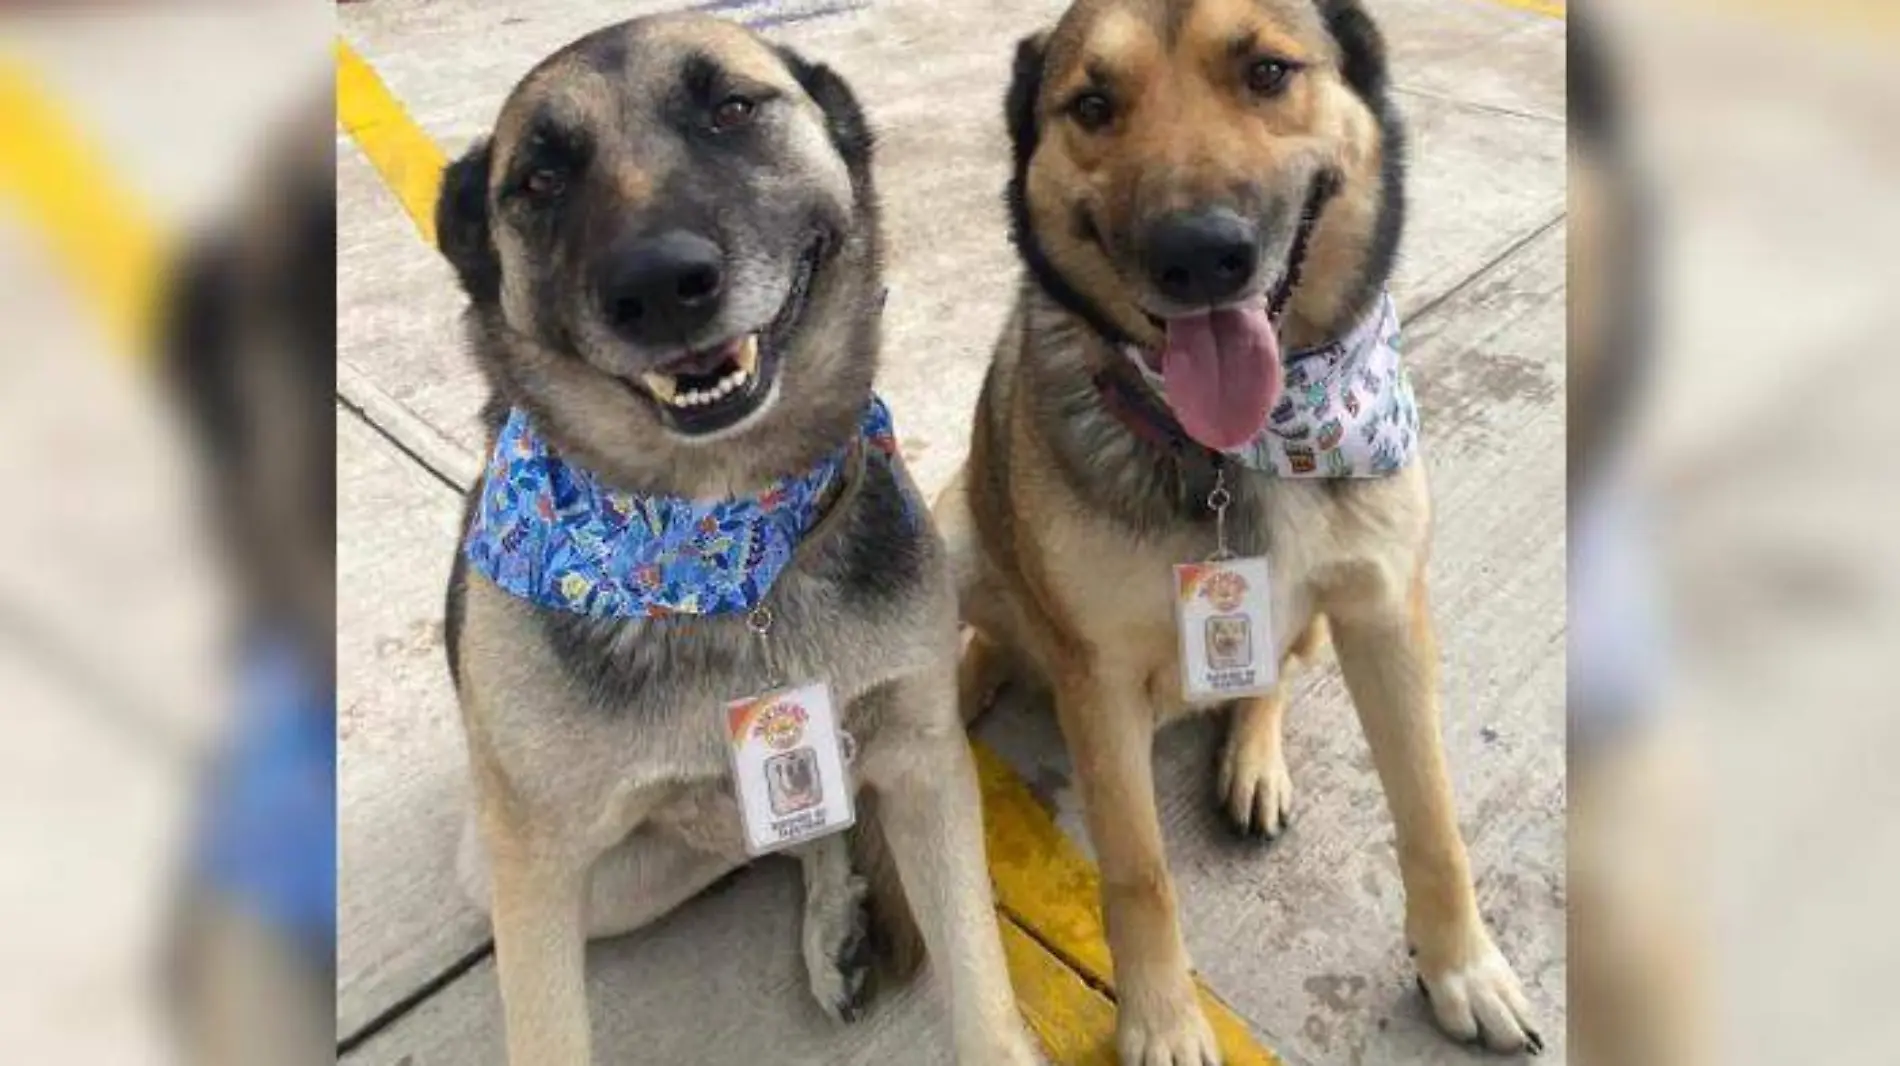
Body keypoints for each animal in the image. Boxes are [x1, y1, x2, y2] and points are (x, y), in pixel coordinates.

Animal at [435, 16, 1041, 1064]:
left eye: (730, 108)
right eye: (540, 180)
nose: (660, 287)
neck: (719, 553)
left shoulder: (926, 766)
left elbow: (983, 991)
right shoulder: (536, 876)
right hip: (586, 879)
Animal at [934, 4, 1542, 1056]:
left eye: (1267, 72)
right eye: (1092, 105)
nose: (1198, 256)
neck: (1240, 450)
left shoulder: (1385, 616)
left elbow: (1432, 817)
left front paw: (1464, 967)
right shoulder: (1097, 676)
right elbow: (1138, 873)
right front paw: (1162, 1022)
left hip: (1311, 626)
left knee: (1273, 682)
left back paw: (1254, 761)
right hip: (955, 530)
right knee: (987, 629)